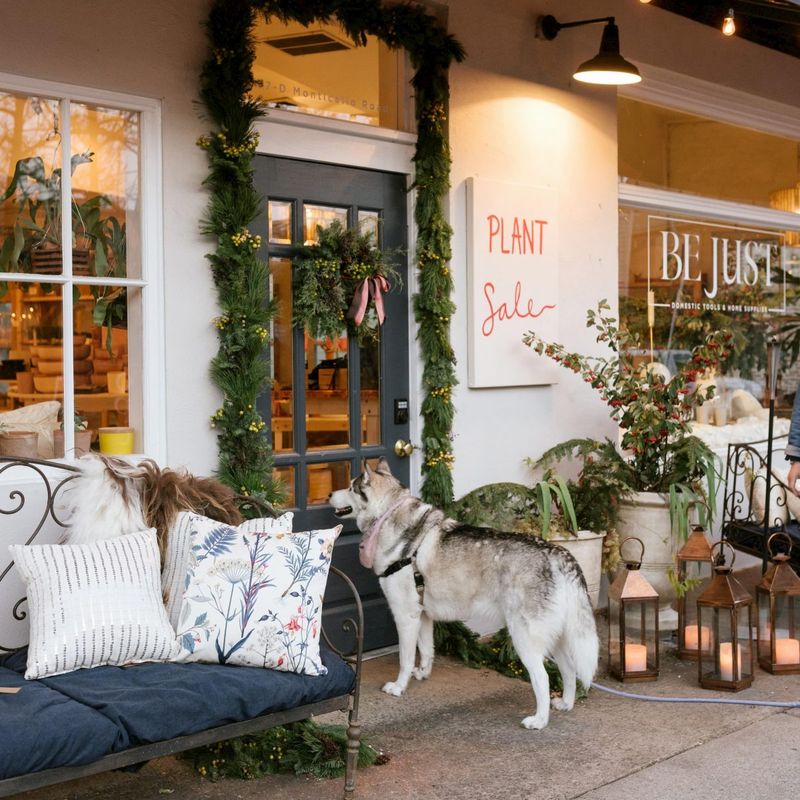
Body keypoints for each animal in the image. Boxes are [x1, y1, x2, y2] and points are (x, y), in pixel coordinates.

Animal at [328, 460, 596, 728]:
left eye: (350, 487)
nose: (329, 494)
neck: (388, 515)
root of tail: (557, 553)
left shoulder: (406, 616)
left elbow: (406, 658)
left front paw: (399, 687)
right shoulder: (423, 615)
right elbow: (427, 651)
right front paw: (422, 673)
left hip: (525, 638)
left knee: (543, 677)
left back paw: (539, 720)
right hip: (557, 637)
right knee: (569, 669)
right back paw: (566, 704)